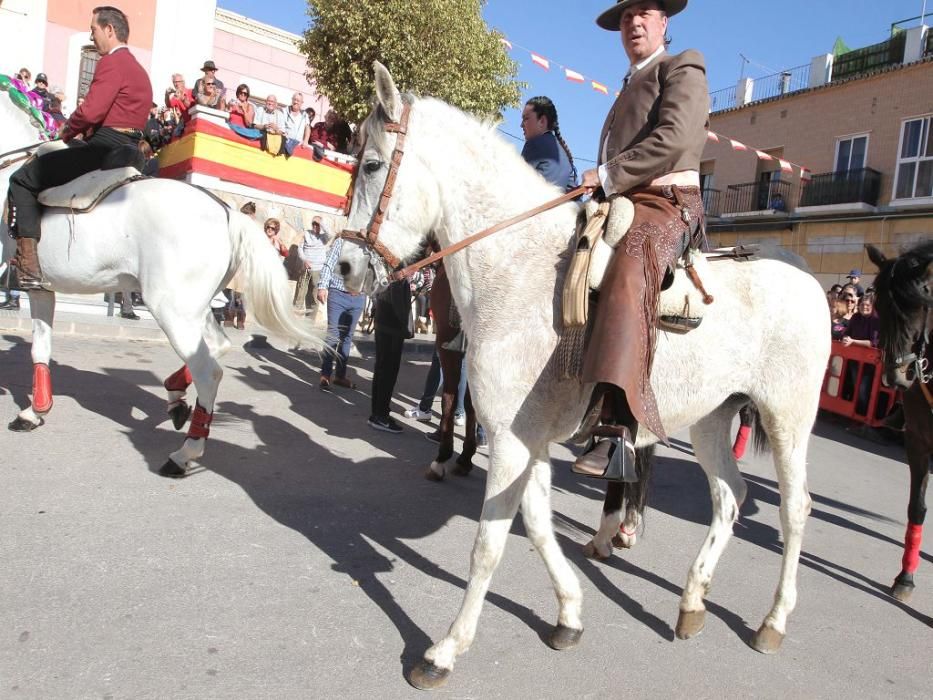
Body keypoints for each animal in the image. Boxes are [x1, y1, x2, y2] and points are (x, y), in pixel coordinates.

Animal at [0, 86, 324, 470]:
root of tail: (227, 212)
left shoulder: (31, 284)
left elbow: (38, 343)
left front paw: (33, 411)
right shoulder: (44, 289)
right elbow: (42, 345)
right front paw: (36, 411)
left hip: (172, 309)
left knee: (209, 371)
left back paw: (185, 453)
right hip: (195, 308)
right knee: (217, 347)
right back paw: (176, 398)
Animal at [336, 64, 832, 688]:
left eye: (372, 164)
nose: (346, 266)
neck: (518, 269)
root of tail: (806, 277)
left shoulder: (511, 441)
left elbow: (489, 542)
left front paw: (445, 649)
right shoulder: (527, 439)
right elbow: (536, 522)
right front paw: (568, 614)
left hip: (788, 420)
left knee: (795, 511)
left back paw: (773, 621)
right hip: (712, 420)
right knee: (729, 497)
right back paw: (692, 602)